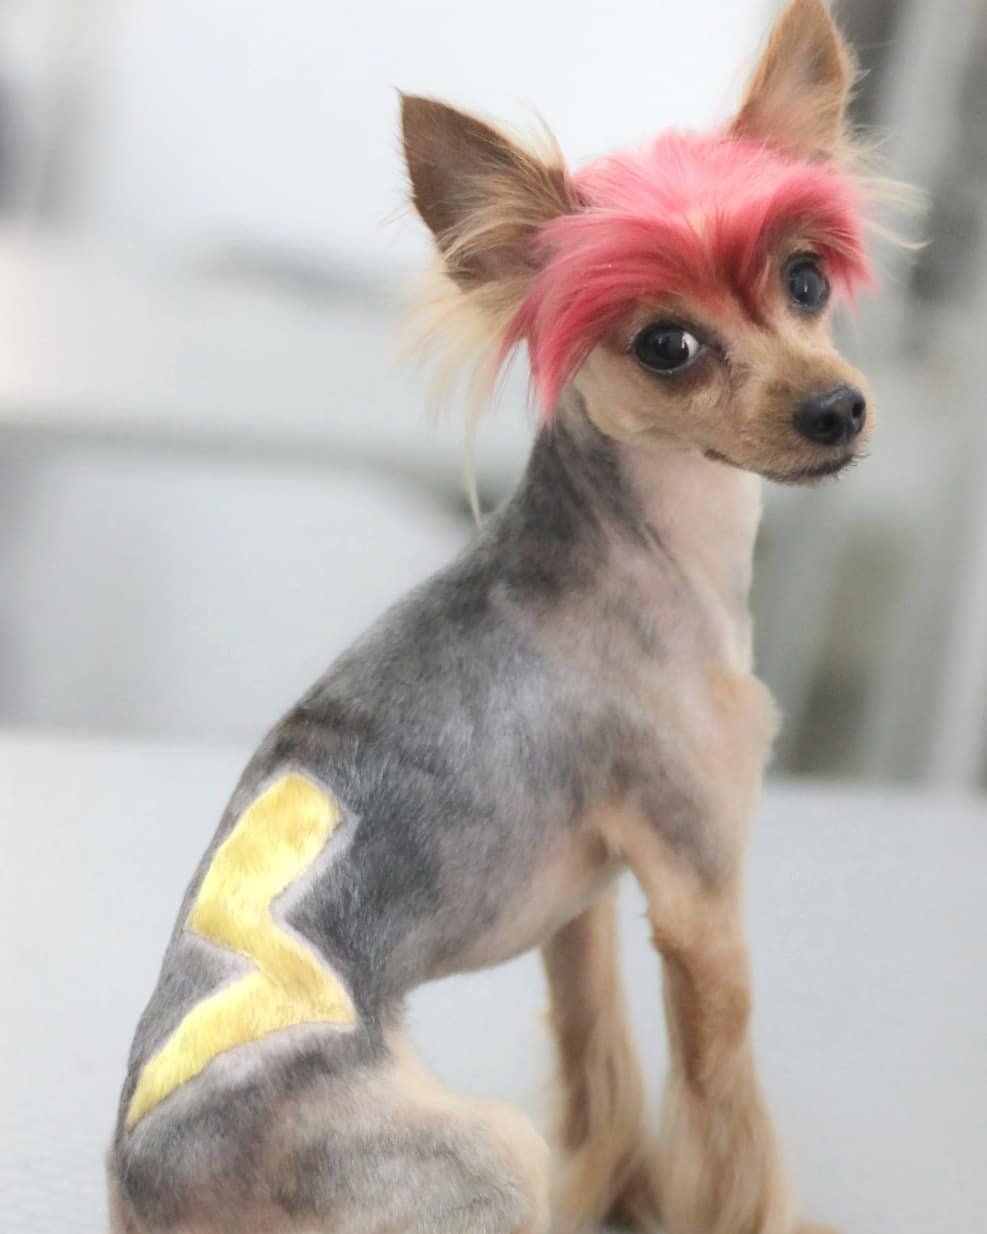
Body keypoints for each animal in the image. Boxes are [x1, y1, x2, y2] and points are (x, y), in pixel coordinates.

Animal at [111, 2, 883, 1234]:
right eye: (666, 345)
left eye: (805, 280)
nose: (836, 409)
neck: (655, 548)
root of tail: (143, 1181)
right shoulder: (702, 900)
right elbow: (727, 1118)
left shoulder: (585, 909)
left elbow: (598, 1061)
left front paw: (622, 1190)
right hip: (469, 1154)